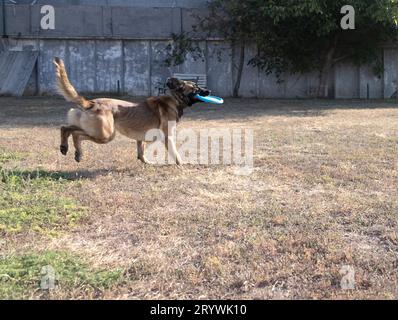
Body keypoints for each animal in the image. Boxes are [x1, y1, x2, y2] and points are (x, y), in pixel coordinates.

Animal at [54, 56, 210, 165]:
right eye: (196, 88)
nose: (209, 91)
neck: (175, 99)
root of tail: (91, 103)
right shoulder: (168, 137)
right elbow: (176, 154)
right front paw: (182, 164)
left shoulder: (142, 138)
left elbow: (141, 152)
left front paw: (146, 162)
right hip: (106, 134)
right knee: (75, 133)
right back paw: (75, 151)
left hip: (96, 130)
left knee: (66, 128)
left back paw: (66, 148)